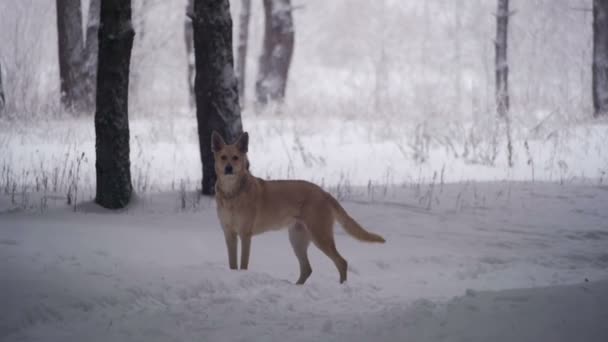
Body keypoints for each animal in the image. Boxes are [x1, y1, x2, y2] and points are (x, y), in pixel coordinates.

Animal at [213, 130, 384, 284]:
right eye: (223, 157)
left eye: (236, 158)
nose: (228, 168)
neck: (231, 194)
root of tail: (324, 192)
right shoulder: (228, 234)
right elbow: (232, 264)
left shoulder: (245, 234)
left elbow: (243, 264)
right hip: (298, 239)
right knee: (307, 269)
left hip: (320, 236)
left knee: (341, 262)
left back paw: (342, 287)